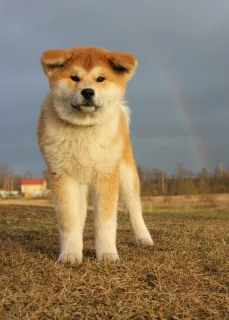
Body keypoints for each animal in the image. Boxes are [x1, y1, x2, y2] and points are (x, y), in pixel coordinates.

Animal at [36, 46, 153, 264]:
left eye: (100, 78)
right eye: (74, 77)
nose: (88, 91)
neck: (84, 129)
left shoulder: (106, 175)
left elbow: (105, 222)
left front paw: (107, 253)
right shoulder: (63, 176)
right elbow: (69, 220)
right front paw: (70, 253)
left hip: (126, 175)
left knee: (134, 210)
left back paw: (144, 238)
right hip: (81, 183)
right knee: (80, 213)